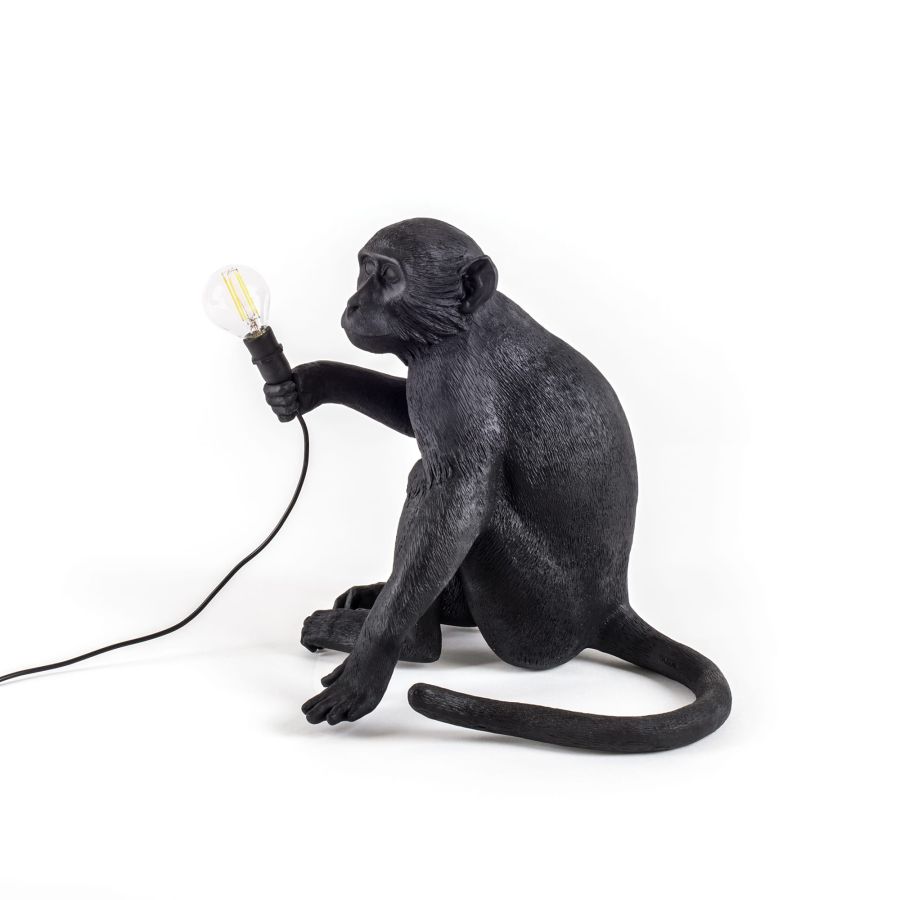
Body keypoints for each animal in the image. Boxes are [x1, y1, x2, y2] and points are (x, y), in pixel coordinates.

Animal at [263, 218, 731, 752]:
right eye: (364, 269)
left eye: (387, 276)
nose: (353, 304)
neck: (462, 324)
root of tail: (609, 608)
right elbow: (406, 417)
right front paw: (308, 382)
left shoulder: (449, 377)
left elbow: (458, 500)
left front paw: (370, 662)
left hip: (530, 620)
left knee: (429, 480)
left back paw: (411, 640)